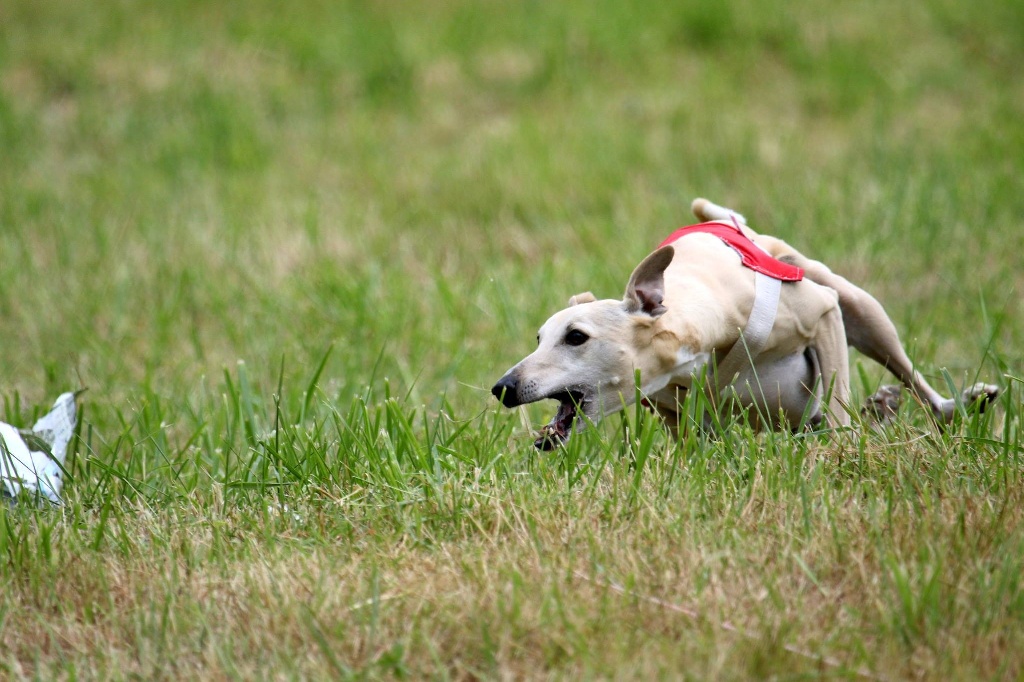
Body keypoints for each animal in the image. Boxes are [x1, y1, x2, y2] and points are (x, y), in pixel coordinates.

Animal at [491, 199, 995, 448]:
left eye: (576, 337)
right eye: (539, 337)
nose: (502, 387)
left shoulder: (823, 314)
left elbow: (838, 402)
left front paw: (846, 451)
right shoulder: (676, 414)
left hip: (860, 309)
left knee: (915, 383)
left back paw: (953, 403)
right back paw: (883, 408)